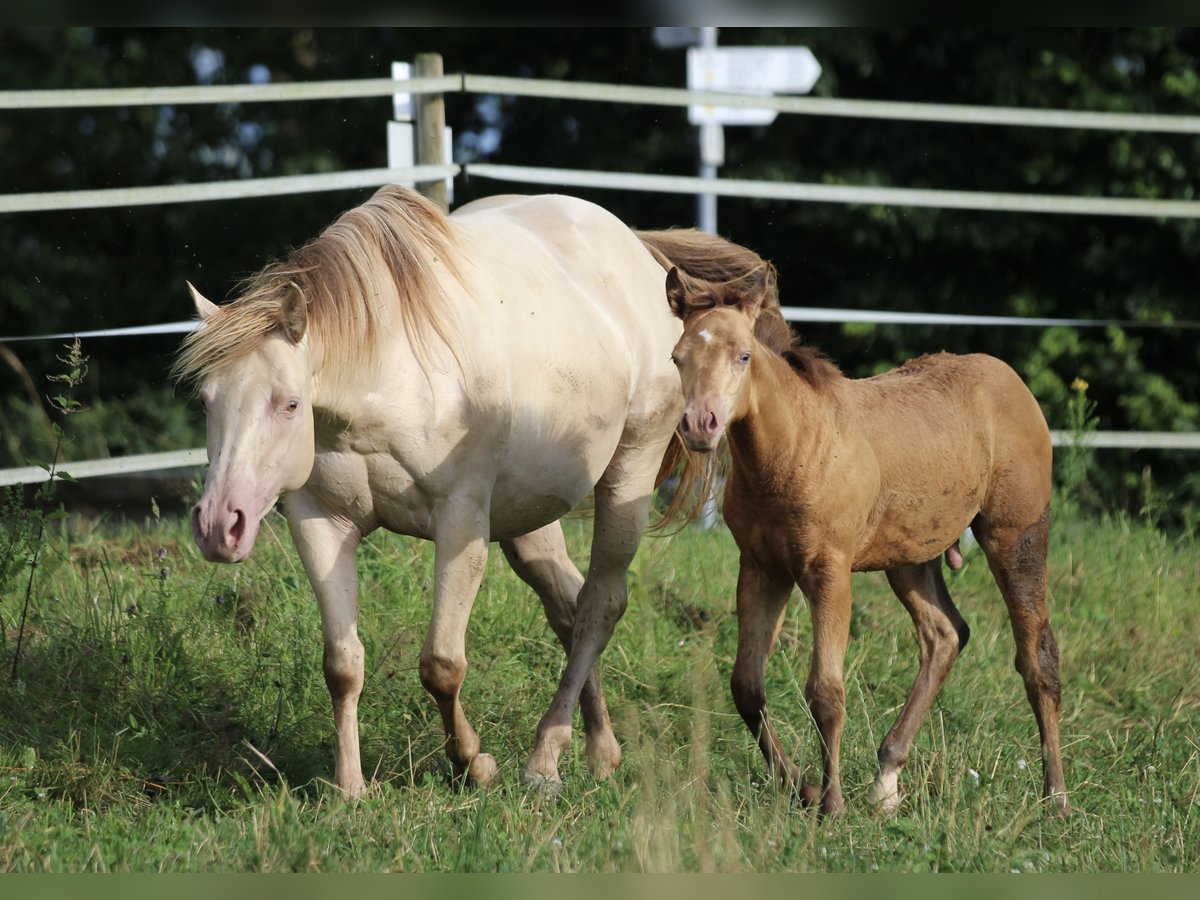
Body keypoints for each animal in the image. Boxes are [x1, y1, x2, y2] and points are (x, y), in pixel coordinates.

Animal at [172, 183, 773, 796]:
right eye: (206, 401)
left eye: (290, 404)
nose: (219, 524)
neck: (387, 373)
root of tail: (638, 250)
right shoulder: (318, 521)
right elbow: (341, 665)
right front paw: (350, 788)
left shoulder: (461, 522)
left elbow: (441, 664)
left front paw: (473, 764)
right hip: (528, 517)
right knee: (568, 606)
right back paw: (599, 750)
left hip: (628, 472)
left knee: (599, 606)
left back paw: (545, 760)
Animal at [663, 267, 1070, 817]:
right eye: (677, 357)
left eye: (743, 355)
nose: (699, 425)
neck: (792, 450)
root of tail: (1011, 380)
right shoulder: (762, 568)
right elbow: (746, 686)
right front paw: (800, 787)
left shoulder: (827, 570)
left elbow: (826, 692)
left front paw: (831, 803)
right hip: (909, 557)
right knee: (945, 634)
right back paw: (887, 778)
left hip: (1016, 534)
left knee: (1036, 656)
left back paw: (1056, 798)